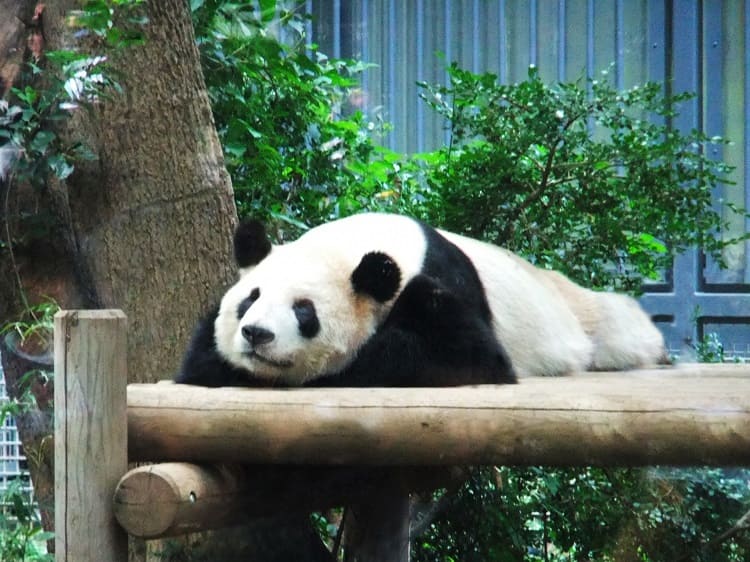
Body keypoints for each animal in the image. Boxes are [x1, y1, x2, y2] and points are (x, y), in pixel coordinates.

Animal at [178, 210, 668, 384]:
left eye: (304, 311)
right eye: (250, 299)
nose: (256, 334)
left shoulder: (444, 284)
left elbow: (469, 356)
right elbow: (200, 360)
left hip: (583, 318)